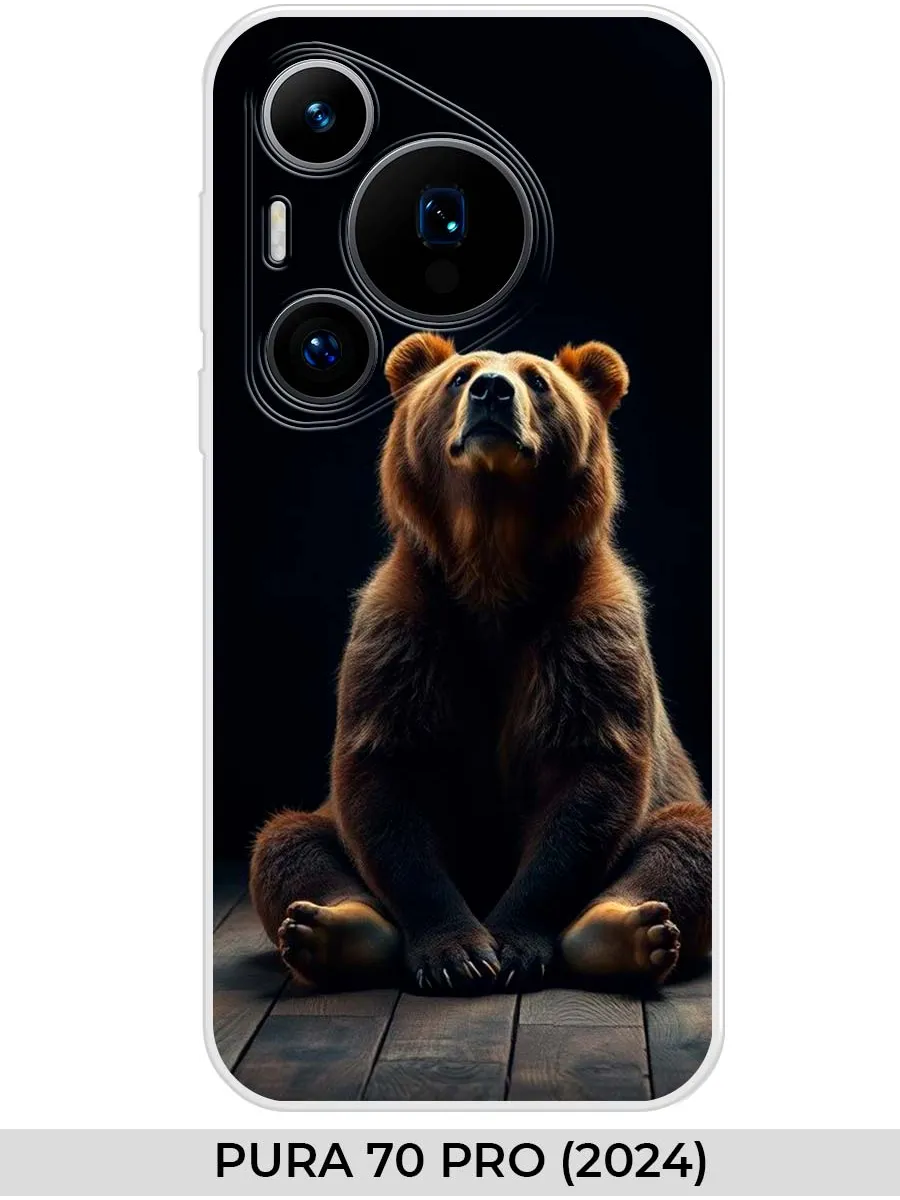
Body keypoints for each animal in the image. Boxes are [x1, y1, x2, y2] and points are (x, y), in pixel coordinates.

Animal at [250, 332, 712, 994]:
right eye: (460, 374)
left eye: (538, 379)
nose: (492, 390)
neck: (491, 564)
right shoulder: (403, 630)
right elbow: (385, 774)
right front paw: (458, 953)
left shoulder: (588, 633)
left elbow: (590, 776)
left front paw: (513, 945)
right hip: (322, 819)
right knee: (285, 839)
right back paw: (334, 930)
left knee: (689, 835)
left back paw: (624, 932)